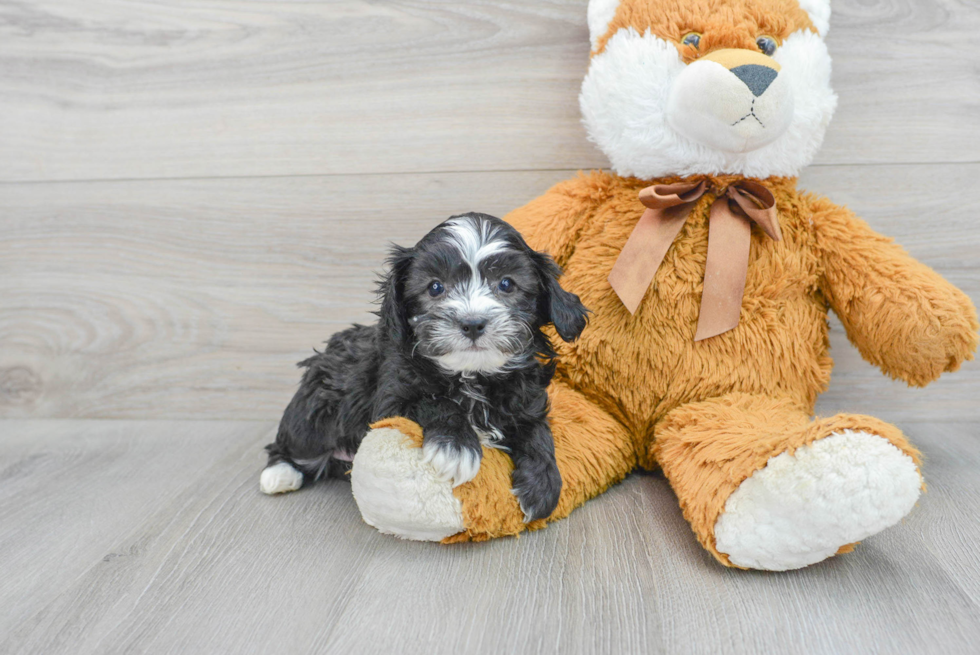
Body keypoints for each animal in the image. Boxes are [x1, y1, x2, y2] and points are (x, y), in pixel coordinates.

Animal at [256, 211, 588, 524]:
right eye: (435, 288)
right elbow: (435, 402)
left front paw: (543, 485)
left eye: (506, 284)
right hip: (311, 415)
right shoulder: (390, 400)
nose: (472, 323)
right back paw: (279, 474)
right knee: (288, 444)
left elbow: (537, 431)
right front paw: (456, 446)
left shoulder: (526, 400)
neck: (471, 375)